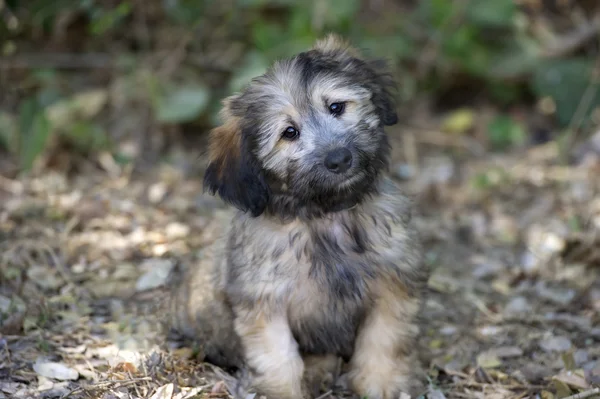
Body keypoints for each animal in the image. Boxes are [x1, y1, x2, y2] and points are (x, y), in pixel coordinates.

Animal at [169, 35, 428, 399]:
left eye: (336, 107)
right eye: (289, 133)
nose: (339, 158)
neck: (325, 215)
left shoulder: (393, 281)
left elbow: (384, 339)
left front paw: (381, 384)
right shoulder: (265, 301)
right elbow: (277, 357)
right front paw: (283, 391)